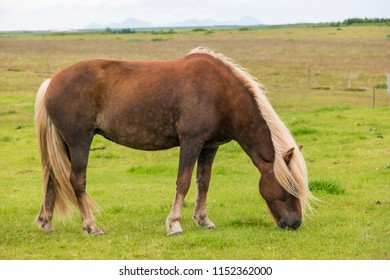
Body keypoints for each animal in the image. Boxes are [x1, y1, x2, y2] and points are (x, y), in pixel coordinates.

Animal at [35, 47, 312, 235]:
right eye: (290, 188)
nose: (295, 223)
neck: (221, 93)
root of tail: (51, 81)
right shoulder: (191, 142)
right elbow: (183, 182)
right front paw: (174, 224)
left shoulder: (209, 147)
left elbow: (203, 183)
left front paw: (203, 220)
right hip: (79, 142)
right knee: (76, 181)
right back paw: (91, 226)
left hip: (64, 145)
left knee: (51, 179)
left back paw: (46, 222)